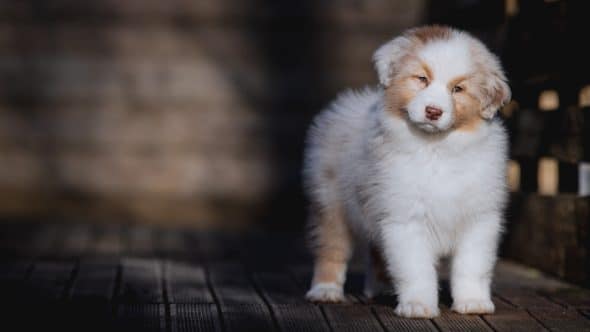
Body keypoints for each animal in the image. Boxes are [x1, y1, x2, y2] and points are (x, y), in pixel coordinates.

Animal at [302, 24, 512, 318]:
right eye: (422, 79)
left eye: (457, 88)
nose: (433, 111)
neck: (436, 149)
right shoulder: (404, 218)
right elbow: (416, 268)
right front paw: (418, 306)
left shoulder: (479, 218)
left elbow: (472, 265)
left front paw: (473, 302)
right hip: (331, 203)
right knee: (331, 249)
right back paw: (325, 291)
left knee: (376, 251)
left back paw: (380, 289)